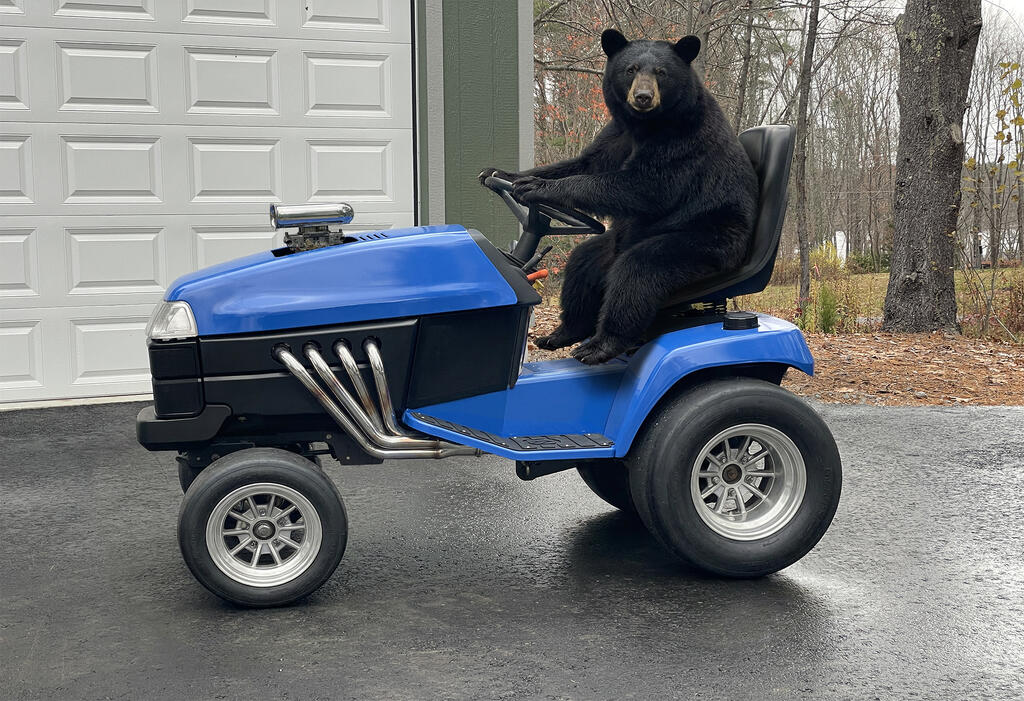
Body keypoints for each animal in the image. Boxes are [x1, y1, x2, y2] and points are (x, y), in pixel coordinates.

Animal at [480, 29, 759, 365]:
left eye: (661, 72)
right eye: (631, 69)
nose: (643, 97)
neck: (647, 125)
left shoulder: (684, 140)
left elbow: (646, 186)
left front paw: (537, 187)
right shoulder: (617, 133)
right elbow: (586, 162)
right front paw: (501, 174)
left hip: (706, 241)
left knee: (637, 274)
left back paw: (599, 345)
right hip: (611, 247)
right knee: (582, 264)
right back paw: (563, 332)